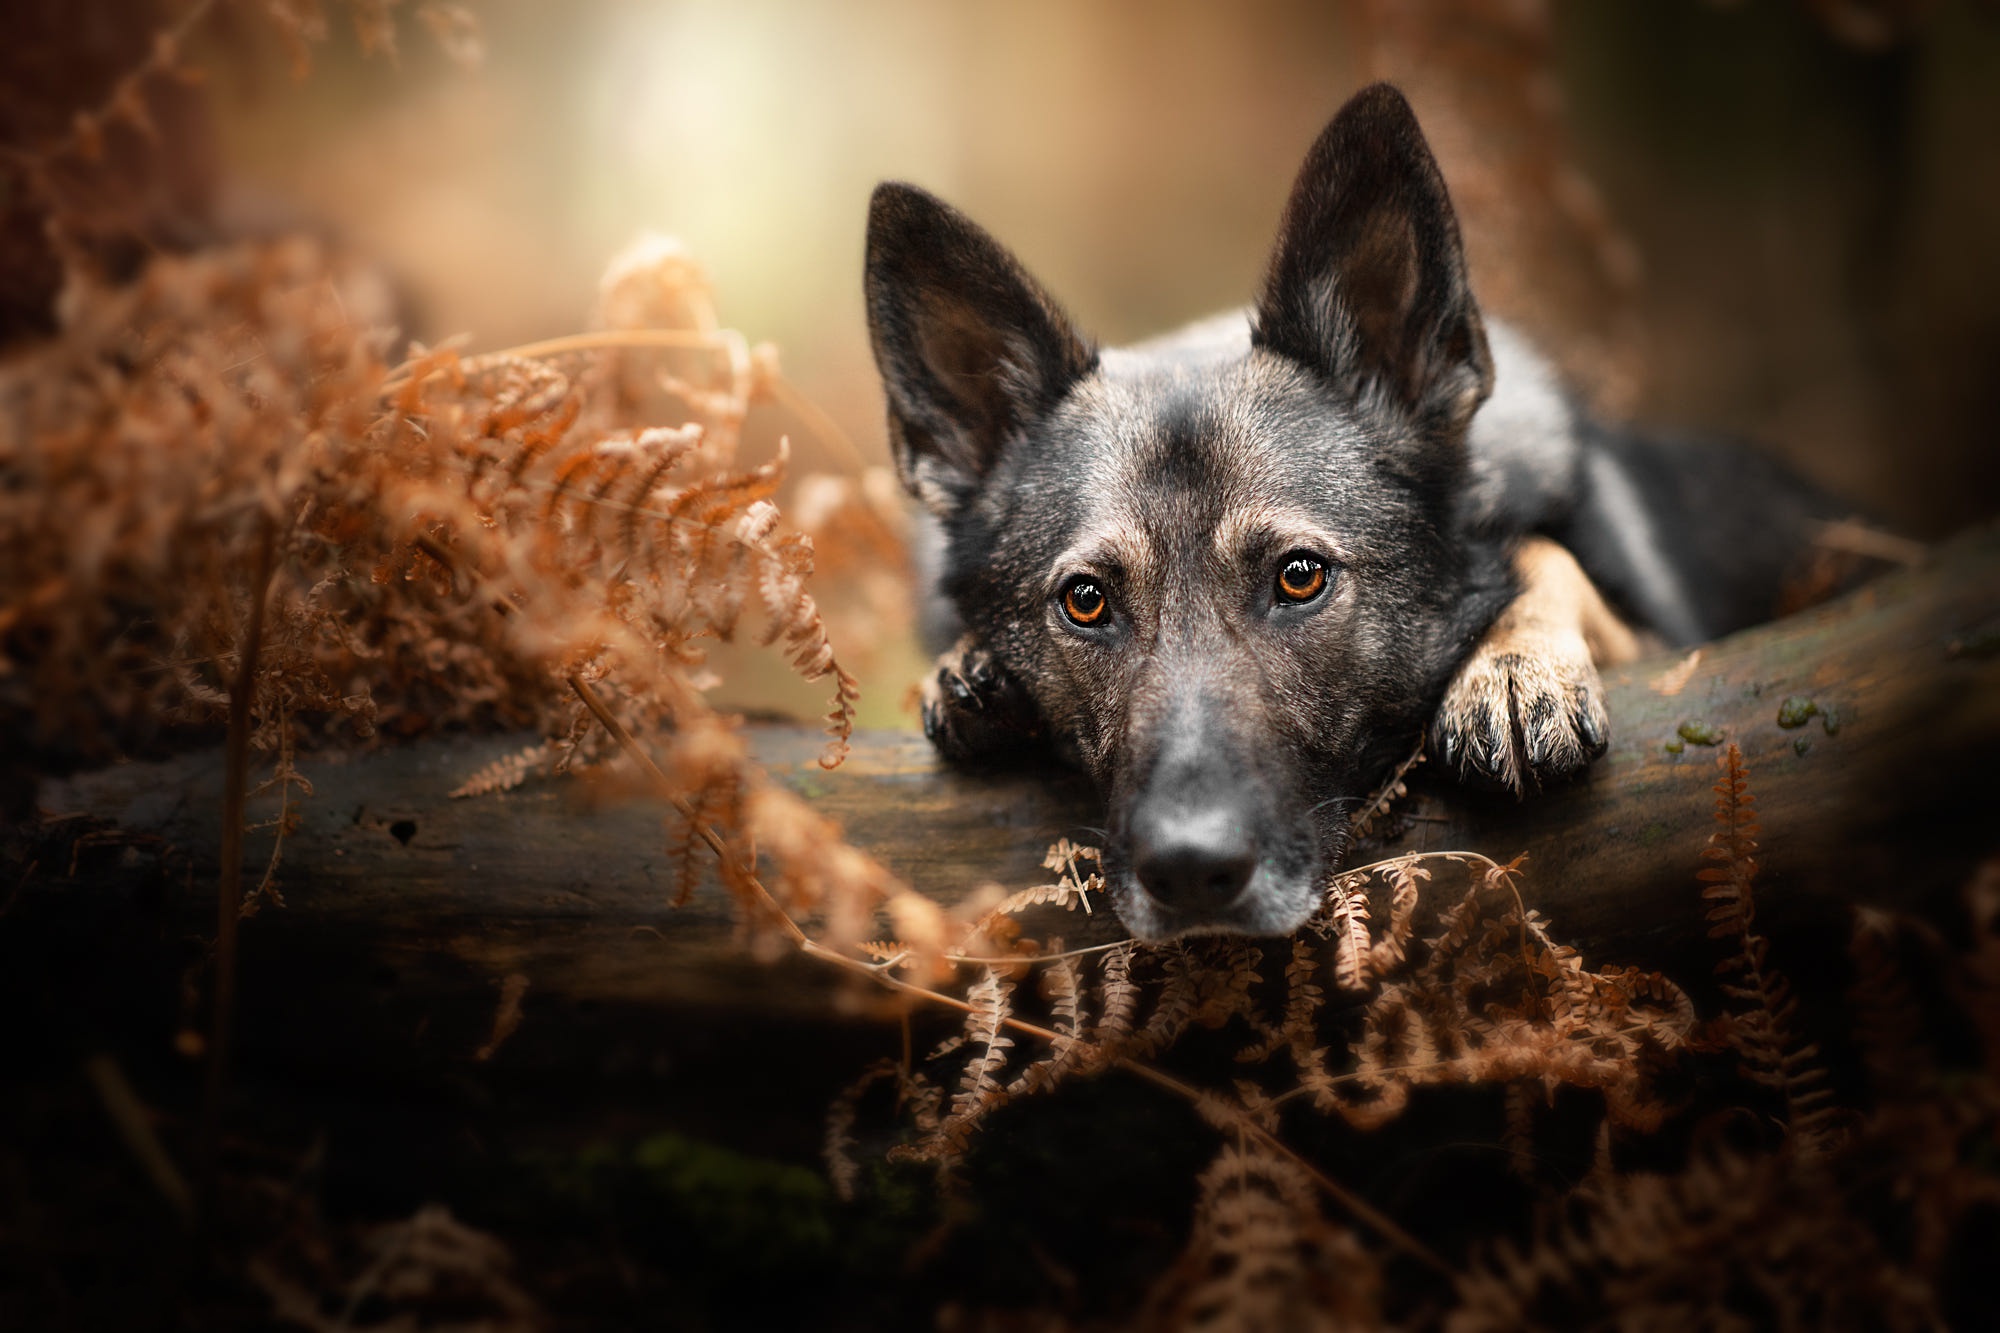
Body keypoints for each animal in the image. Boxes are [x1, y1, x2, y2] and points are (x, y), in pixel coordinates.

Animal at [860, 83, 1840, 940]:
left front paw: (1514, 662)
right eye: (1086, 600)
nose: (1190, 871)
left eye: (1300, 578)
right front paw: (972, 672)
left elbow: (1545, 556)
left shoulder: (1663, 636)